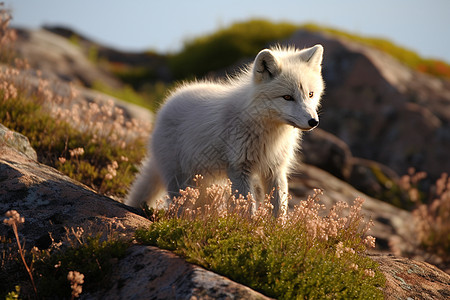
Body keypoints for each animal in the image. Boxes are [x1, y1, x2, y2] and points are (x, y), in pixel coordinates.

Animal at [125, 44, 324, 216]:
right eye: (287, 97)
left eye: (311, 94)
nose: (313, 121)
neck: (269, 133)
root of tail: (163, 110)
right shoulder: (239, 168)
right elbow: (248, 208)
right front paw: (251, 231)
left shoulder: (275, 169)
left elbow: (279, 210)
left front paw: (277, 232)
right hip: (182, 181)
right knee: (179, 207)